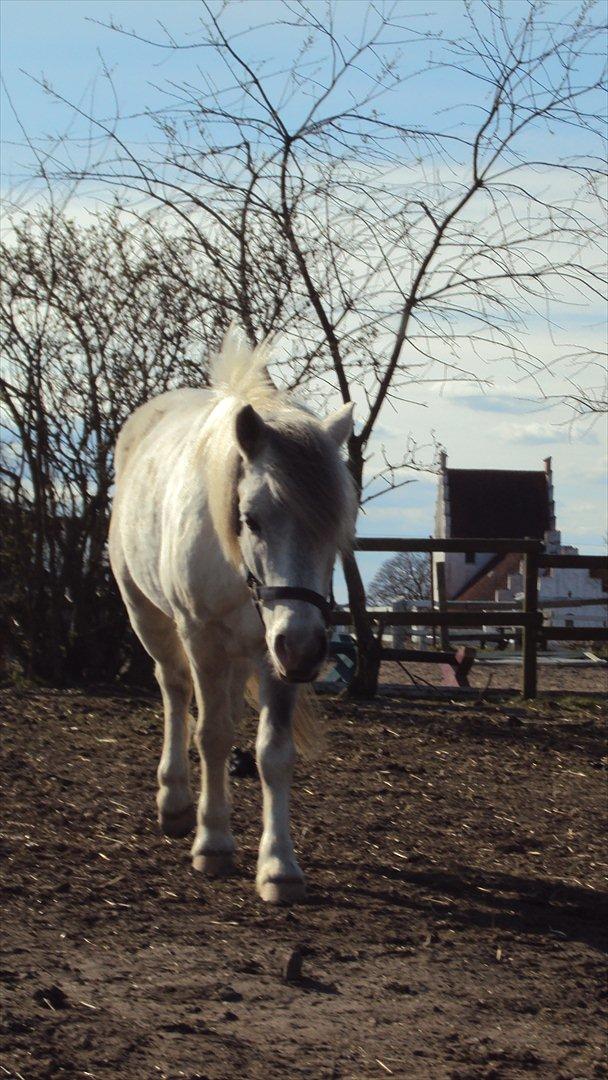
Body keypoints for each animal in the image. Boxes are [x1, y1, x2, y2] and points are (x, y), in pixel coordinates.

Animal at [108, 327, 357, 903]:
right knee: (175, 691)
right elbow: (212, 735)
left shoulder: (276, 654)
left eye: (336, 523)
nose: (306, 646)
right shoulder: (202, 637)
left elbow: (273, 751)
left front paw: (278, 865)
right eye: (252, 518)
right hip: (149, 617)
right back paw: (176, 801)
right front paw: (214, 842)